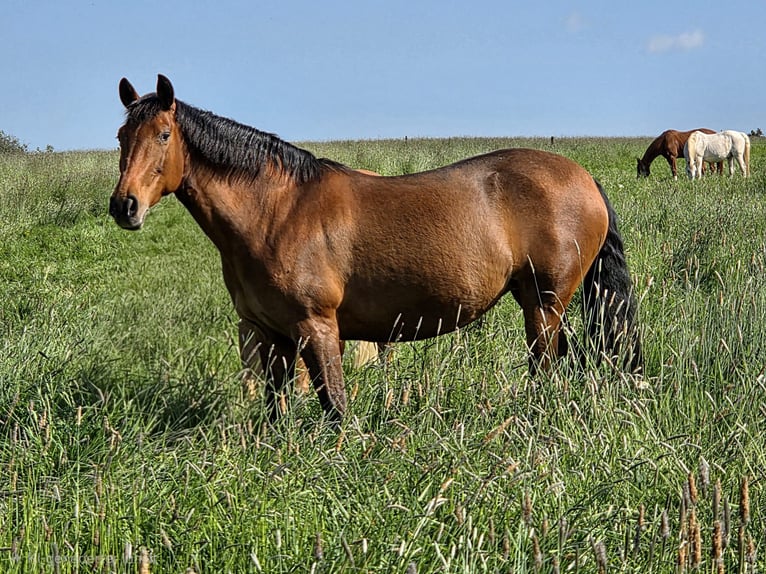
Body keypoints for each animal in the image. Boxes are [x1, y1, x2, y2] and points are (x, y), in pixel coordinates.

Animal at [110, 75, 642, 422]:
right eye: (120, 137)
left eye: (163, 135)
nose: (124, 206)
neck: (276, 211)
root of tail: (583, 178)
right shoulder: (271, 334)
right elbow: (277, 412)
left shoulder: (318, 328)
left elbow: (335, 408)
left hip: (544, 302)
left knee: (546, 365)